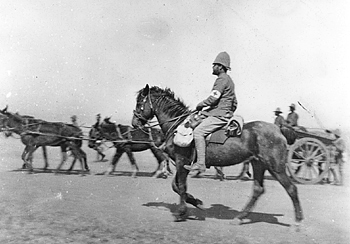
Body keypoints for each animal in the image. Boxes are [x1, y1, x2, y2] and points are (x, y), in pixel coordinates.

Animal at [131, 85, 304, 226]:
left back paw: (298, 221)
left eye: (140, 103)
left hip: (275, 167)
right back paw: (239, 217)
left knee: (291, 188)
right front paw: (197, 202)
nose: (134, 123)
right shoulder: (183, 164)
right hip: (258, 164)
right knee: (258, 189)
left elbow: (180, 186)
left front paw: (181, 213)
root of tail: (279, 129)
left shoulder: (182, 161)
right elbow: (176, 186)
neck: (178, 126)